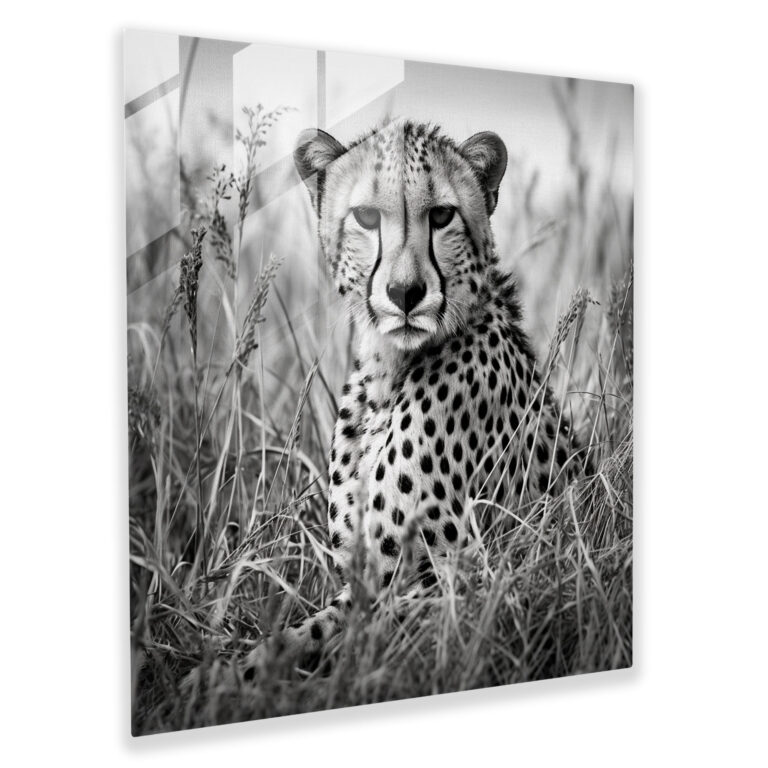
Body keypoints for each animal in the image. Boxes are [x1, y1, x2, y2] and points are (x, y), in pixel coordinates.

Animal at [243, 118, 592, 677]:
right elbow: (300, 634)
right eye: (366, 217)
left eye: (442, 215)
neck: (387, 377)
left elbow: (361, 640)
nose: (405, 292)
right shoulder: (365, 579)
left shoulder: (463, 576)